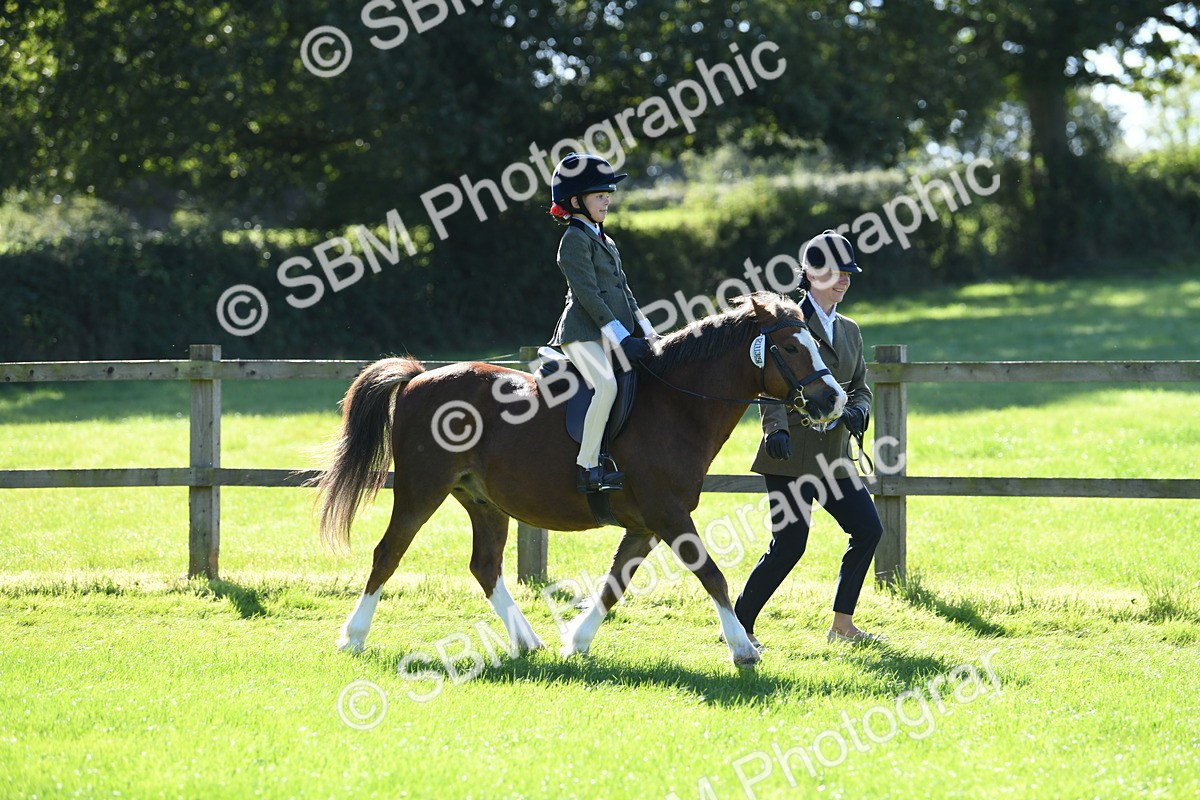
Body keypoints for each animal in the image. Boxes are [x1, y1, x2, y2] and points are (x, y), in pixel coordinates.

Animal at [314, 292, 847, 667]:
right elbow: (711, 573)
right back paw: (353, 637)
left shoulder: (646, 525)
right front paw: (743, 650)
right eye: (790, 346)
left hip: (483, 502)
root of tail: (420, 378)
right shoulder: (669, 514)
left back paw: (528, 641)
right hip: (421, 490)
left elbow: (616, 583)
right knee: (388, 553)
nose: (834, 400)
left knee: (485, 567)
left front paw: (577, 641)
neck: (677, 404)